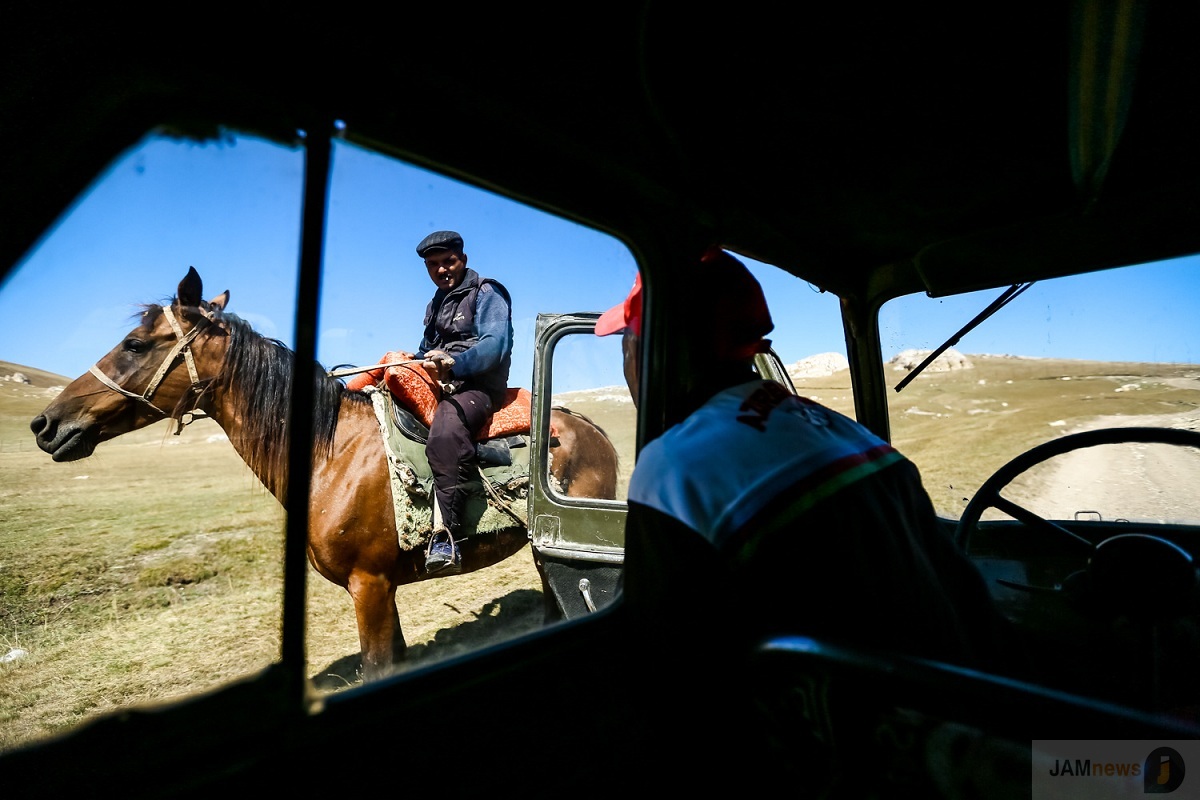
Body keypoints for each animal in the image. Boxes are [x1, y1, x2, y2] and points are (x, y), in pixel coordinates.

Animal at [28, 267, 619, 681]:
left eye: (135, 344)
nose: (45, 424)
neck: (329, 454)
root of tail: (593, 428)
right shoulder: (379, 591)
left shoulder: (370, 586)